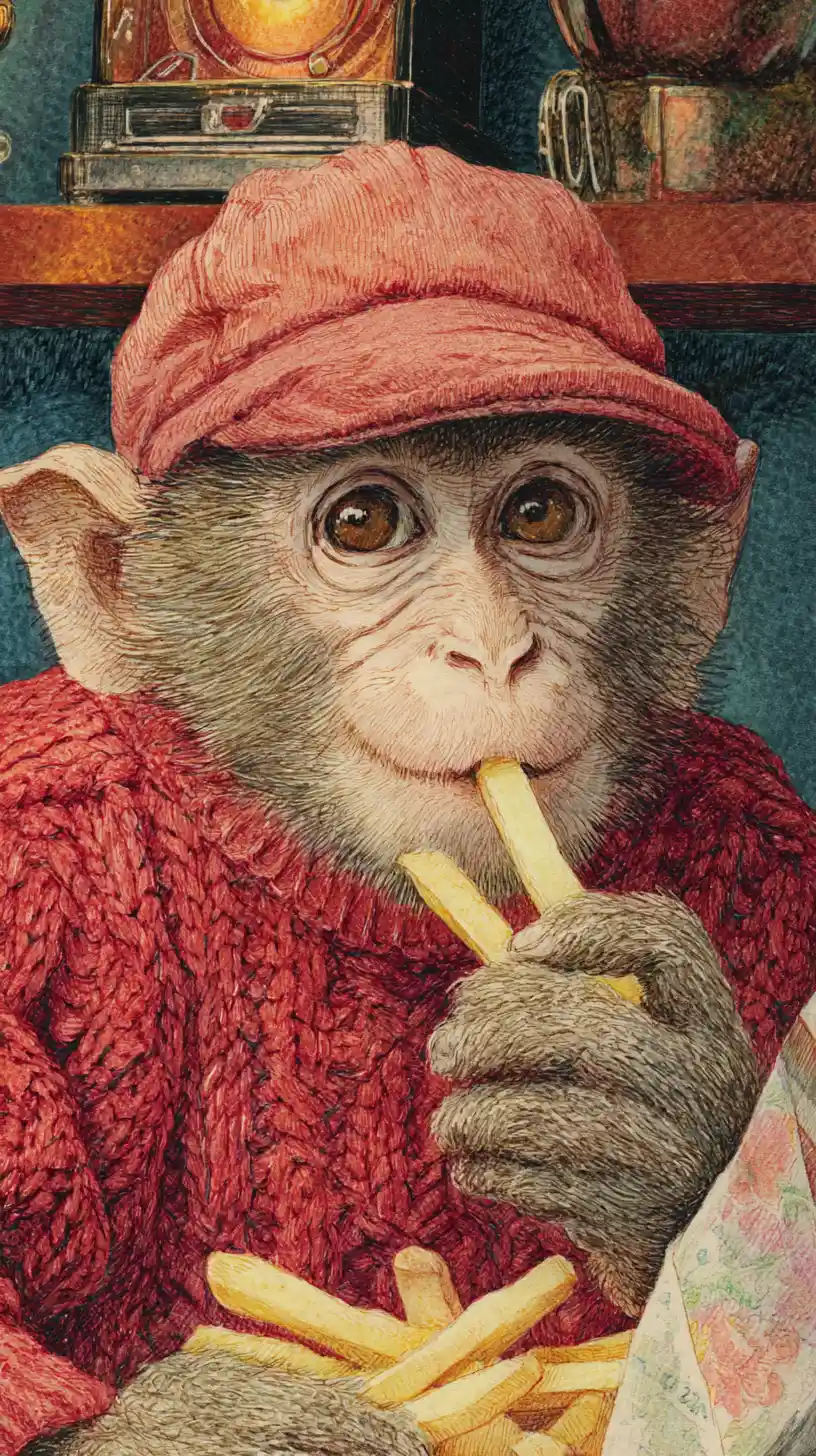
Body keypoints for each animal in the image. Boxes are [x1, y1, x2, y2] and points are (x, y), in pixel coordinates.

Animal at [2, 144, 814, 1454]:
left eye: (539, 513)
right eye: (364, 521)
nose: (491, 650)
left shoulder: (771, 836)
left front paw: (645, 1099)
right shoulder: (30, 842)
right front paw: (241, 1421)